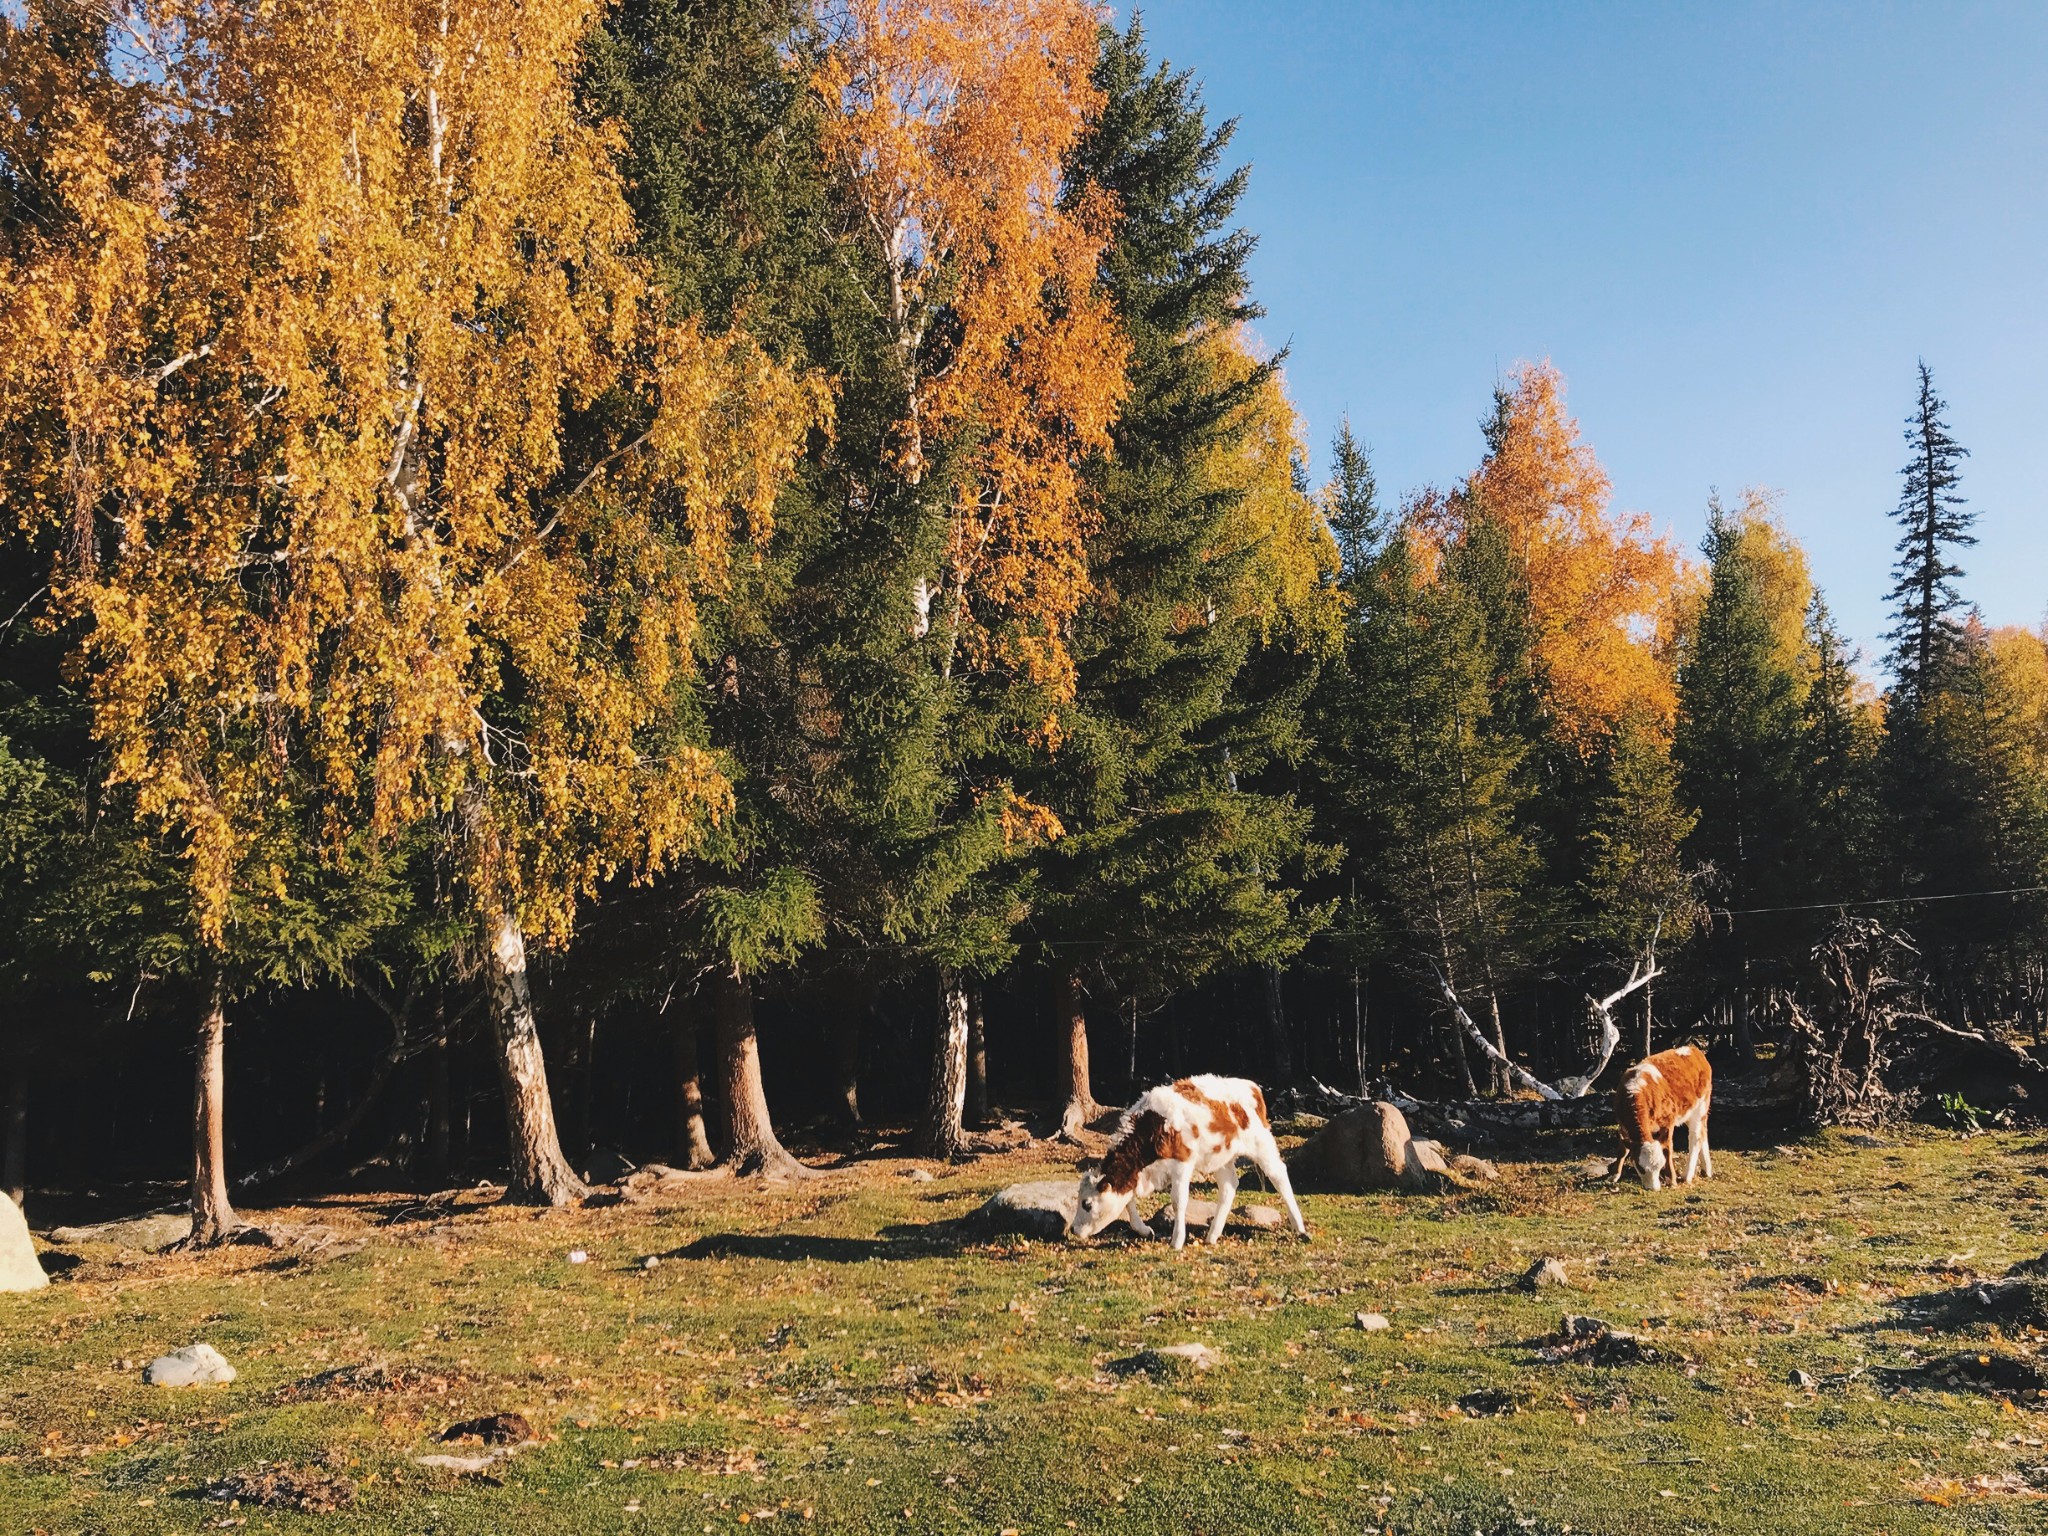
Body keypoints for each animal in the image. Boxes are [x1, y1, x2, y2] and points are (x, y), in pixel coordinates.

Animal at [1064, 1073, 1302, 1253]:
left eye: (1087, 1204)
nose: (1073, 1229)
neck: (1154, 1123)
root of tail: (1251, 1086)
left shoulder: (1182, 1162)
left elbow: (1179, 1201)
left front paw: (1177, 1241)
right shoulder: (1138, 1174)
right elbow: (1128, 1200)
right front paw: (1143, 1229)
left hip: (1261, 1143)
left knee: (1279, 1175)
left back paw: (1299, 1227)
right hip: (1220, 1157)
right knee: (1229, 1186)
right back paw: (1212, 1235)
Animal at [1613, 1040, 1712, 1196]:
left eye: (1659, 1167)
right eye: (1640, 1167)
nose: (1654, 1188)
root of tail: (1694, 1050)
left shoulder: (1668, 1121)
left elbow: (1667, 1147)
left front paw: (1671, 1179)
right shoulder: (1623, 1125)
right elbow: (1623, 1149)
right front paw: (1615, 1175)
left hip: (1700, 1106)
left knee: (1695, 1138)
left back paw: (1687, 1175)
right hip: (1690, 1111)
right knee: (1704, 1133)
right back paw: (1706, 1169)